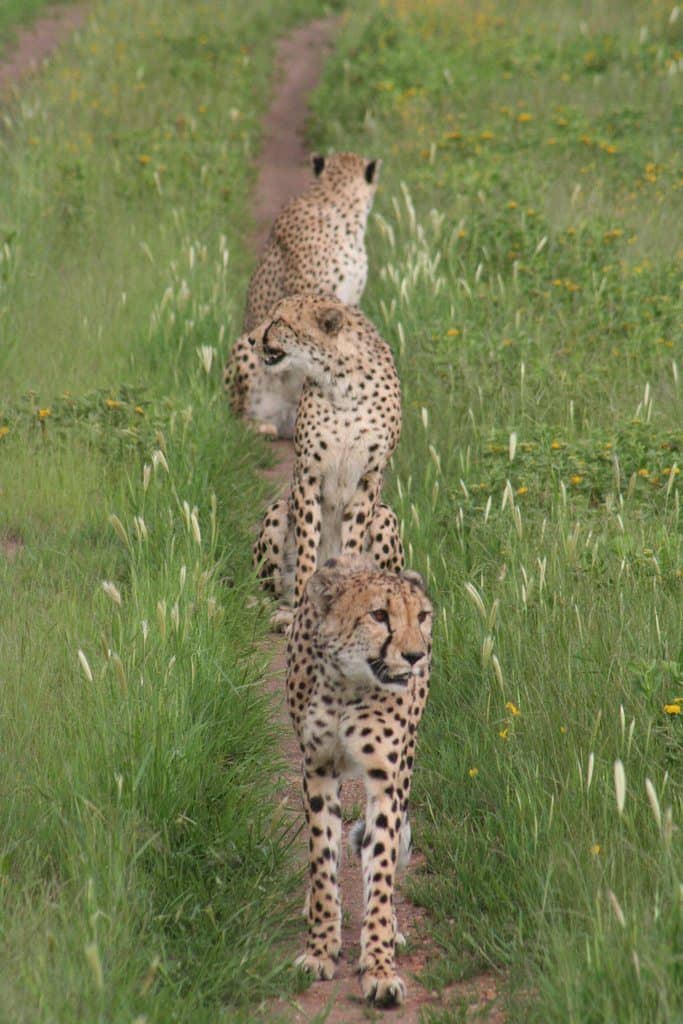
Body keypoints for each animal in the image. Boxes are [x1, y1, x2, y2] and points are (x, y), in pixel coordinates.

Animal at [249, 294, 401, 606]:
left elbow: (353, 540)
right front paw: (302, 601)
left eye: (278, 321)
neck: (343, 383)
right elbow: (308, 545)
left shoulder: (370, 477)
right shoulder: (308, 473)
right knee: (271, 591)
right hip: (277, 511)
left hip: (386, 517)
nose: (251, 340)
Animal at [288, 557, 432, 1003]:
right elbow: (322, 858)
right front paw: (320, 949)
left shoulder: (387, 779)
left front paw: (380, 966)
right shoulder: (317, 769)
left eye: (422, 616)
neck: (350, 685)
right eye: (379, 615)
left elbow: (382, 863)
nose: (415, 655)